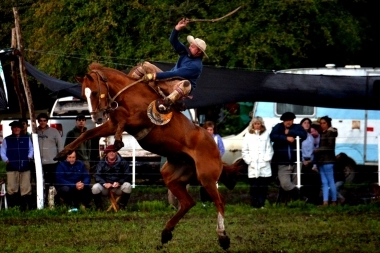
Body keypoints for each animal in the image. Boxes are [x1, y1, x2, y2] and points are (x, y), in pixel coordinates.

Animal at [54, 62, 242, 249]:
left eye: (93, 92)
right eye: (83, 95)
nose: (97, 117)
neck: (128, 95)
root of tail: (214, 145)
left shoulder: (140, 121)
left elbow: (123, 120)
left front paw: (118, 142)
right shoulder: (111, 125)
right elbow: (87, 133)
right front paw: (62, 153)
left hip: (206, 176)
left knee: (220, 202)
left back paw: (223, 237)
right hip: (172, 175)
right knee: (188, 202)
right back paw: (166, 233)